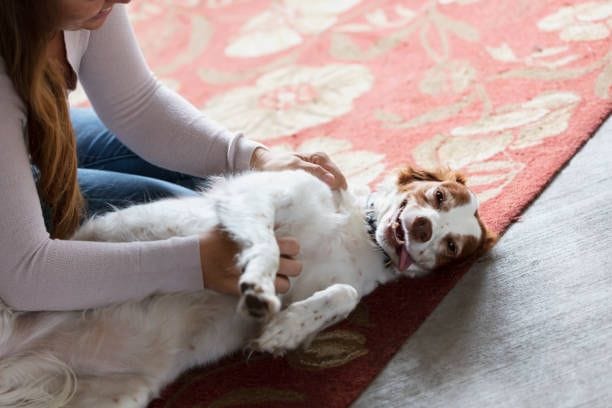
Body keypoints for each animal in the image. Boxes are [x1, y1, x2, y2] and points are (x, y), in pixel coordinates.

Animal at [0, 165, 498, 408]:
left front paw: (284, 331)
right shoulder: (256, 197)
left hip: (121, 396)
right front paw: (258, 286)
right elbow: (268, 245)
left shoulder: (334, 284)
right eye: (438, 197)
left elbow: (344, 295)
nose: (422, 229)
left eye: (451, 246)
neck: (358, 233)